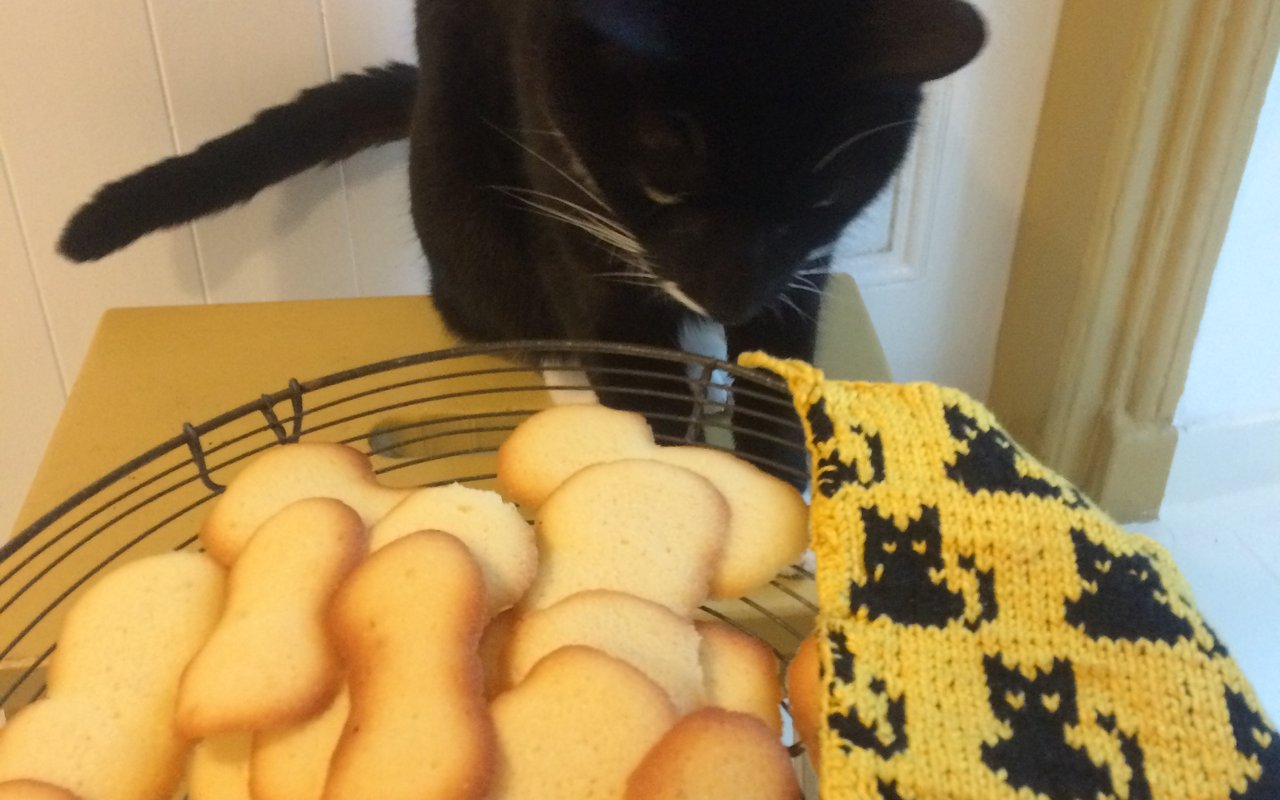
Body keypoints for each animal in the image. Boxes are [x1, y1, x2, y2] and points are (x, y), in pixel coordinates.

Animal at [57, 1, 977, 473]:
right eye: (663, 184)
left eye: (824, 195)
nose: (728, 292)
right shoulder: (574, 201)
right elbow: (620, 350)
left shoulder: (802, 267)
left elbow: (780, 362)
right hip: (467, 208)